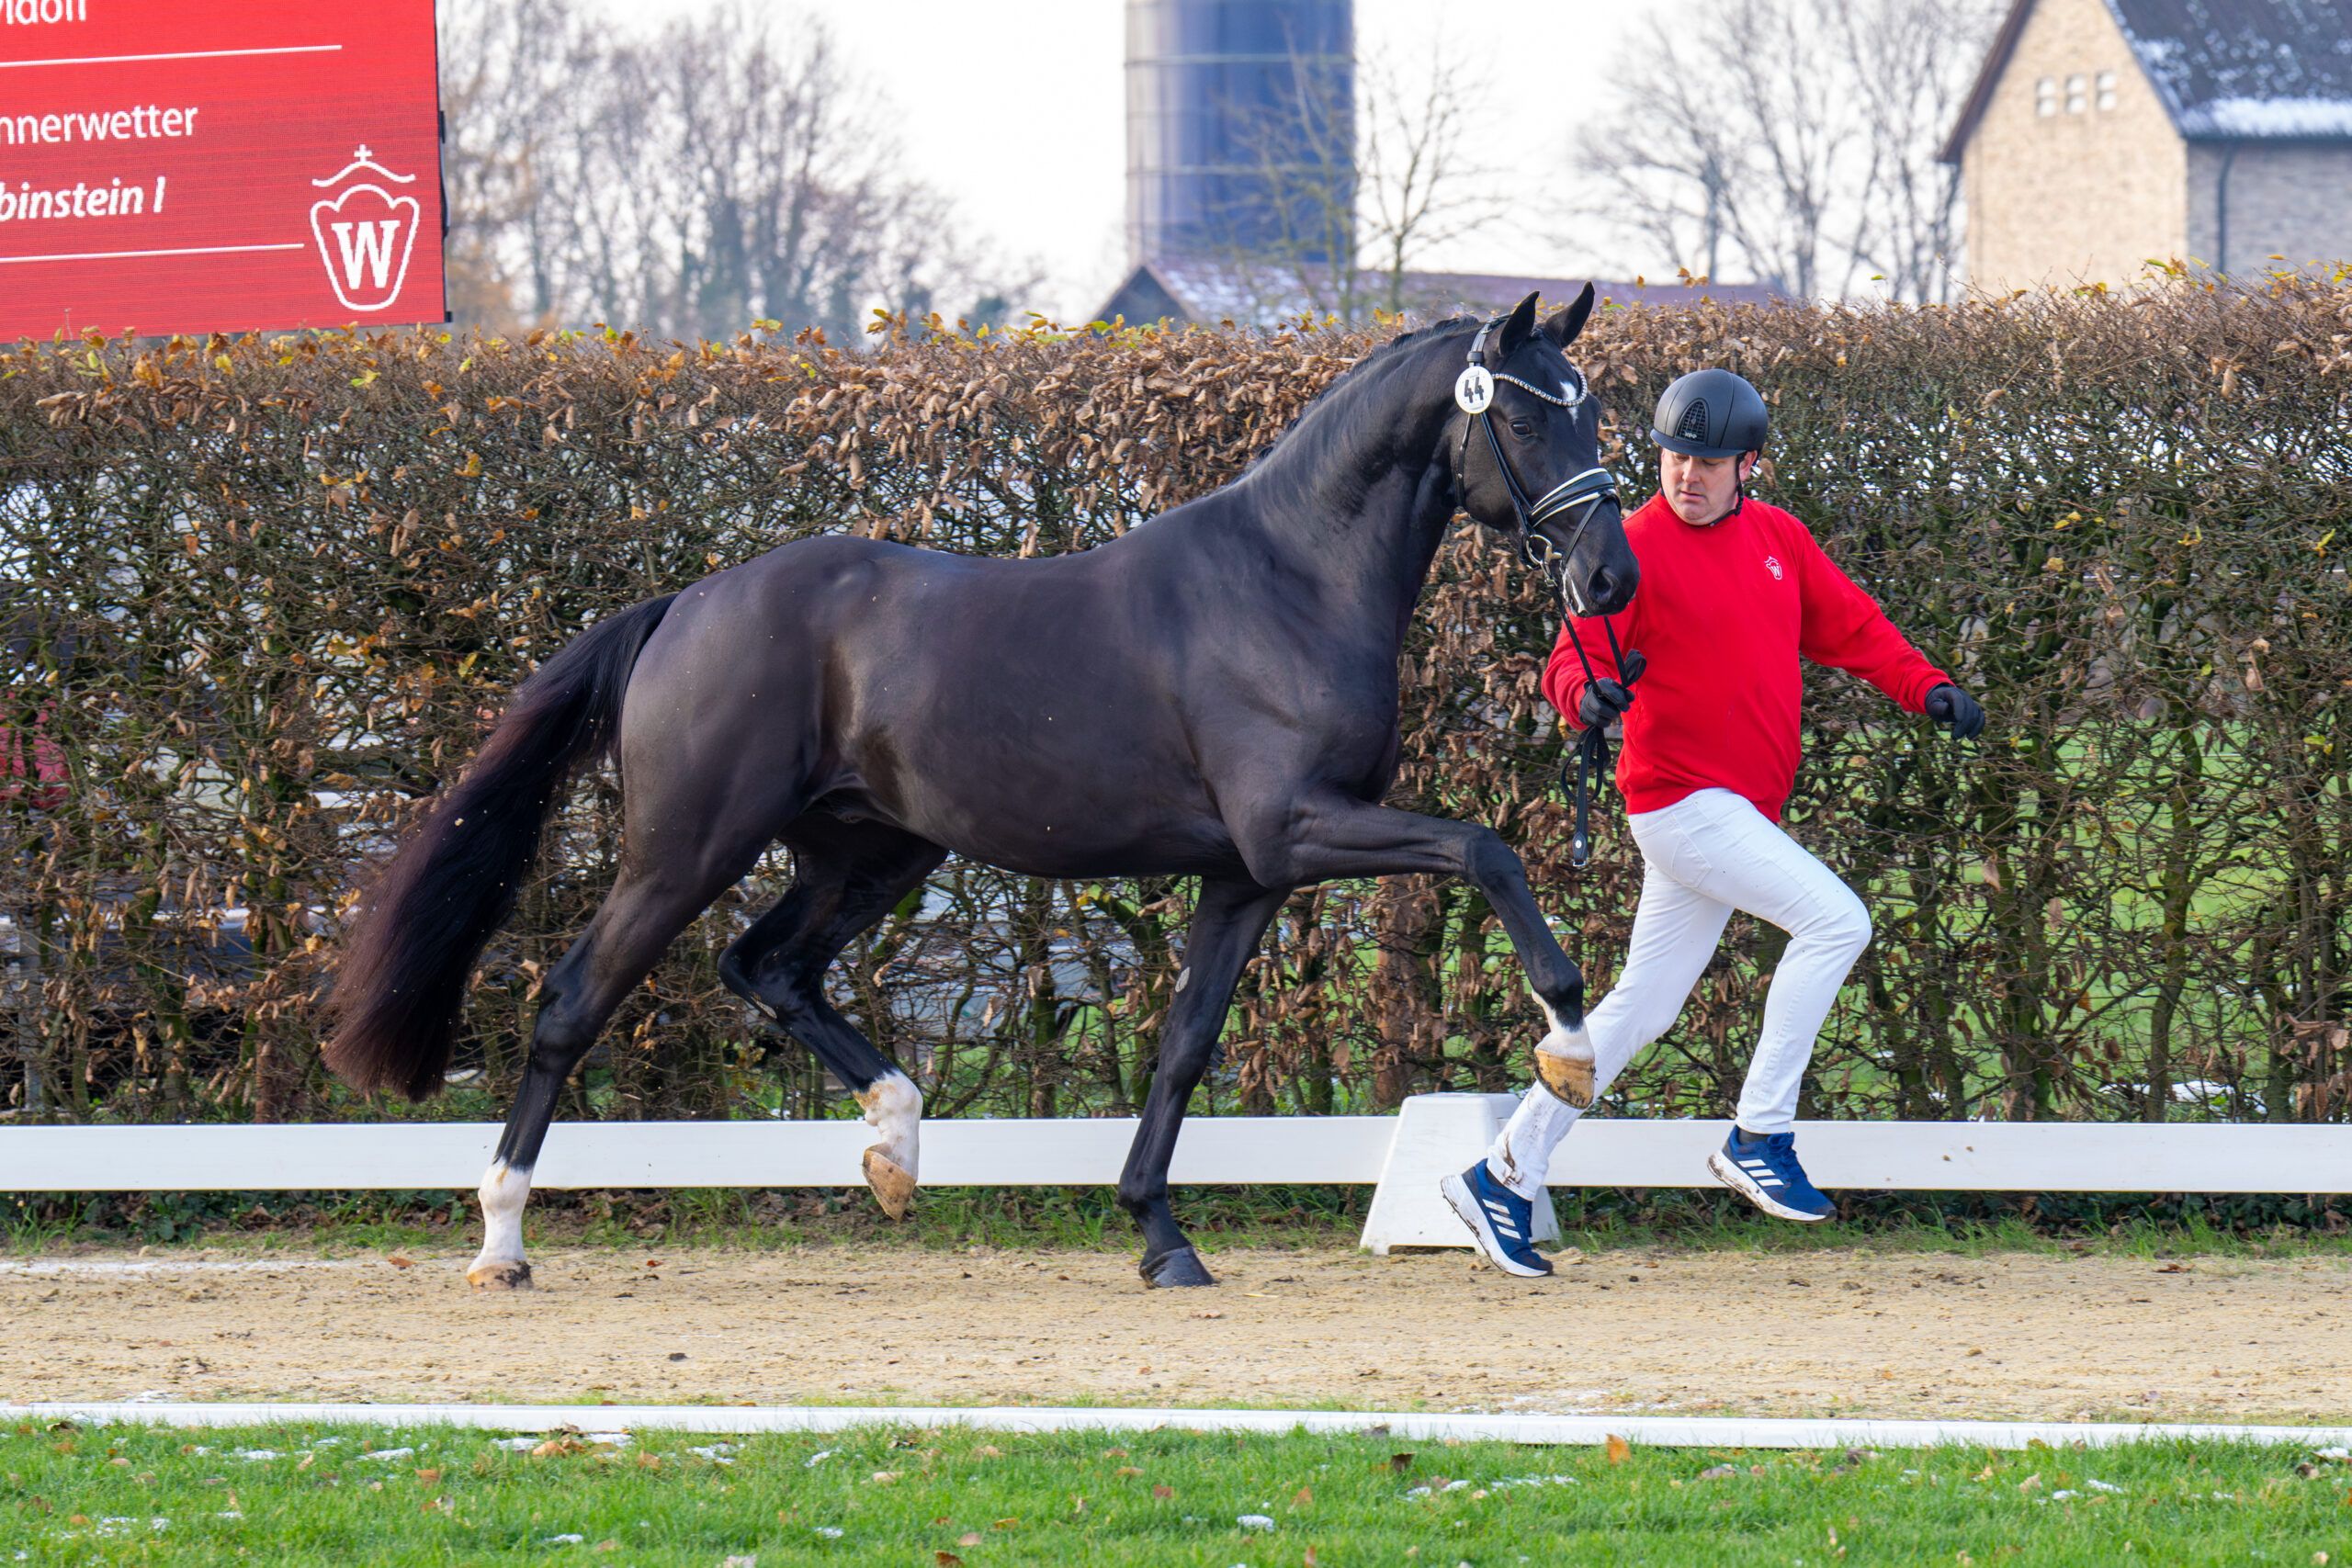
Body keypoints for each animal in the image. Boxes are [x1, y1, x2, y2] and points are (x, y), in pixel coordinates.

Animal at [331, 288, 1636, 1297]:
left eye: (1594, 408)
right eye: (1526, 412)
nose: (1609, 576)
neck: (1288, 581)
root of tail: (686, 605)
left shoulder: (1246, 875)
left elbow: (1183, 1048)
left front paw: (1160, 1238)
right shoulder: (1297, 830)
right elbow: (1487, 853)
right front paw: (1568, 1049)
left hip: (871, 852)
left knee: (768, 968)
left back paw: (896, 1146)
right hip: (687, 849)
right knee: (573, 1002)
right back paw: (501, 1239)